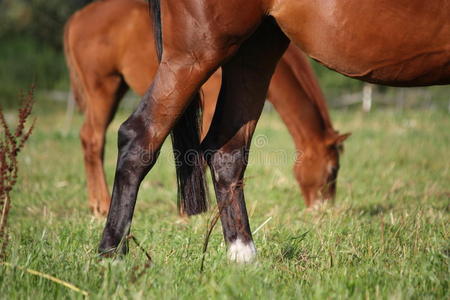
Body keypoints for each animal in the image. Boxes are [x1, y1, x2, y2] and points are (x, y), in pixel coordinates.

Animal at [62, 0, 348, 217]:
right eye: (333, 170)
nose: (323, 210)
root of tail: (77, 18)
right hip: (103, 91)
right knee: (93, 139)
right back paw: (102, 204)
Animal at [99, 0, 450, 262]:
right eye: (332, 171)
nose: (322, 212)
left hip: (255, 48)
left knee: (226, 153)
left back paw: (243, 256)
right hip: (194, 55)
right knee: (137, 136)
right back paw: (112, 254)